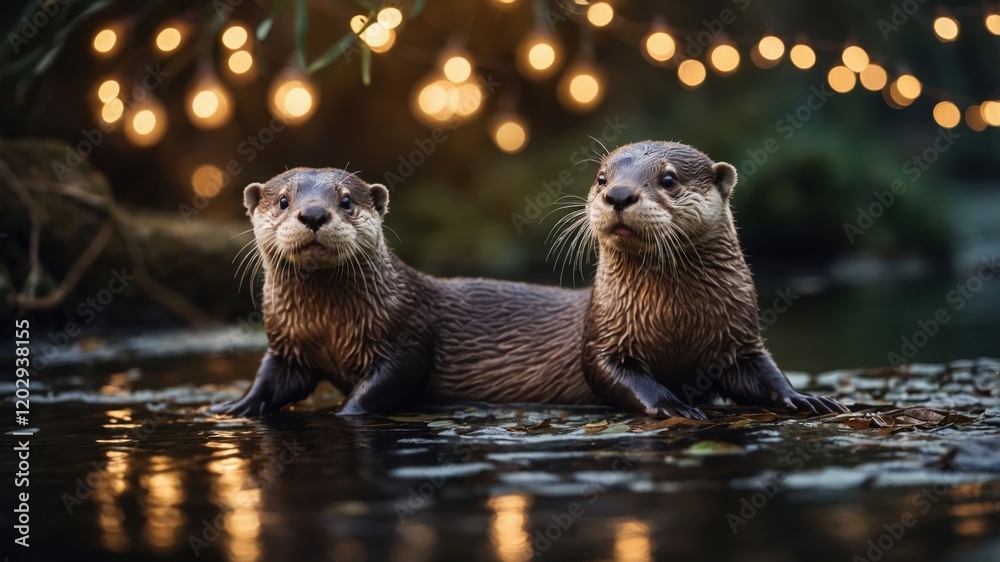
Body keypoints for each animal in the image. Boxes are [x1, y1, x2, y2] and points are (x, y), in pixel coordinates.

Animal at [210, 168, 595, 417]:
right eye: (283, 201)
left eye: (346, 201)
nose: (314, 213)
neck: (327, 328)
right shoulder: (288, 343)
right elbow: (271, 379)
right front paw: (235, 406)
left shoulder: (407, 335)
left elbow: (390, 381)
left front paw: (340, 412)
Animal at [573, 140, 846, 419]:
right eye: (601, 178)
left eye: (669, 179)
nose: (619, 194)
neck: (676, 320)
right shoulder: (604, 338)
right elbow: (613, 374)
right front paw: (675, 405)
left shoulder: (741, 337)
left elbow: (767, 373)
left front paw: (805, 398)